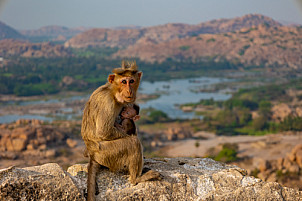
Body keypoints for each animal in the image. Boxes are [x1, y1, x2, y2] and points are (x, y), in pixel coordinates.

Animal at [80, 60, 160, 201]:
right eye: (124, 81)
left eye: (131, 81)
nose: (129, 90)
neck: (113, 92)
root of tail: (92, 155)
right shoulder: (108, 102)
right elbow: (104, 131)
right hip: (107, 154)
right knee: (133, 143)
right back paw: (136, 178)